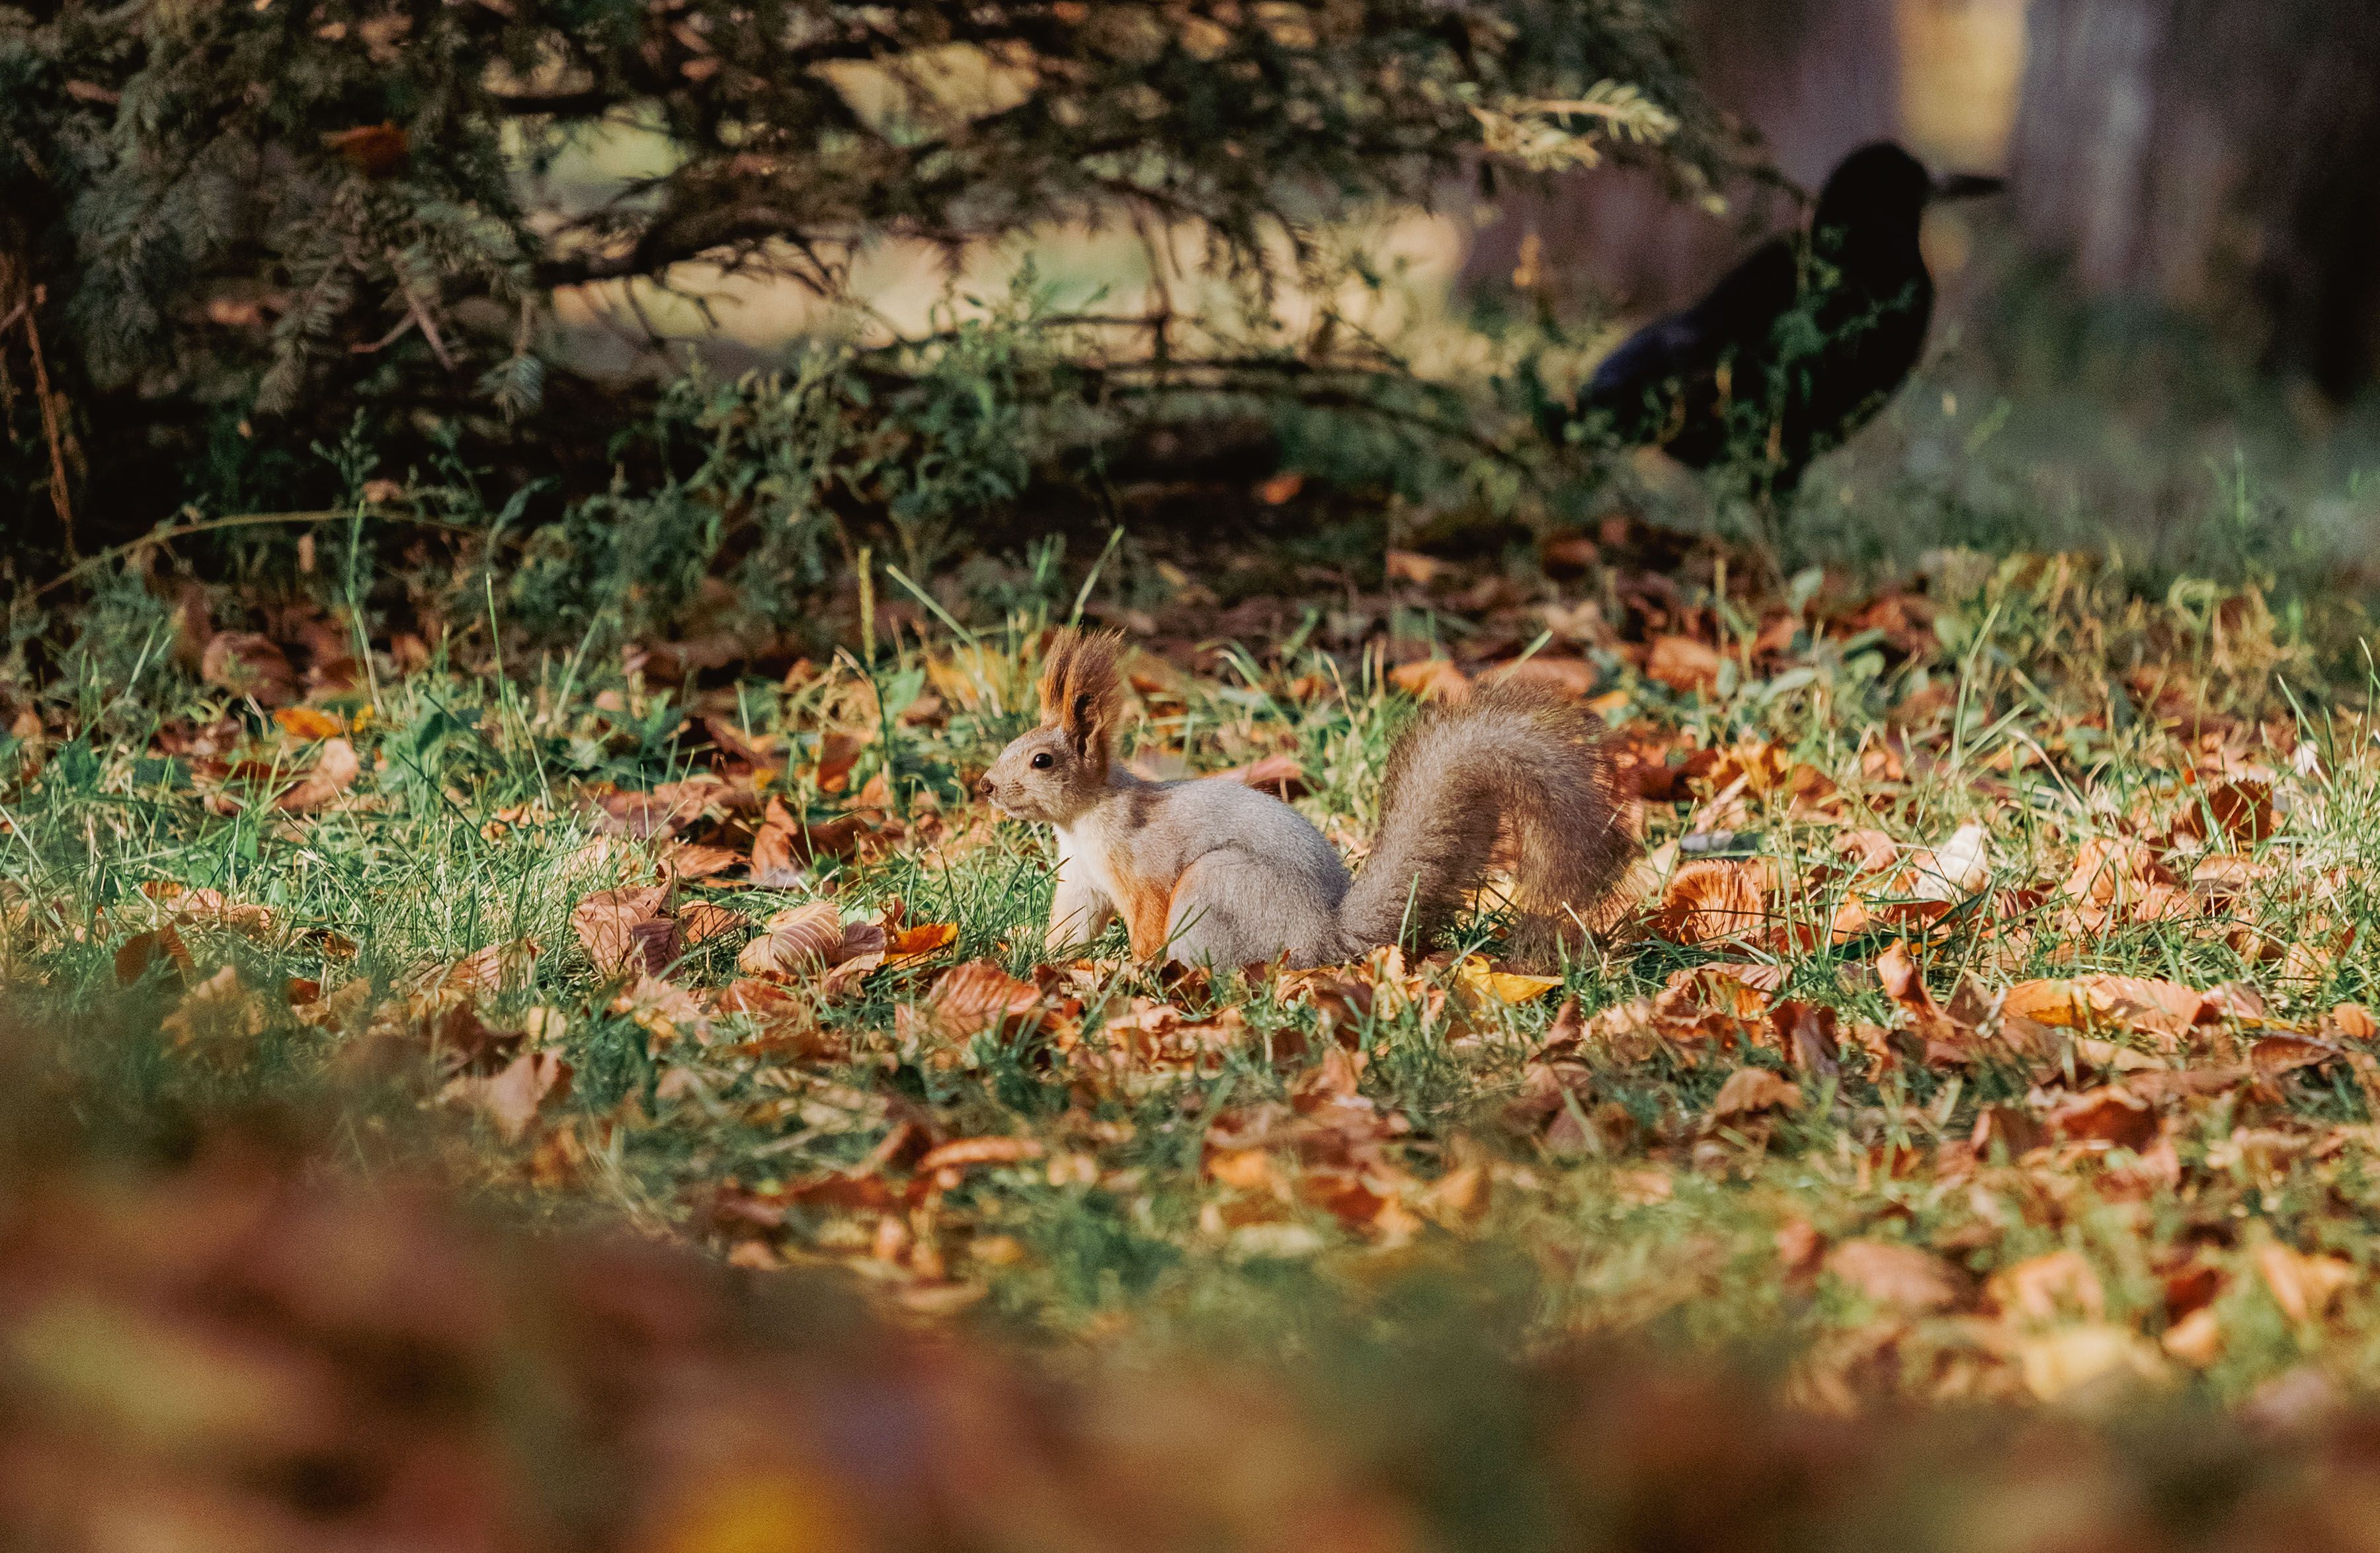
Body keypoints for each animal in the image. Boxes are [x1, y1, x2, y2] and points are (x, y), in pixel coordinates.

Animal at [974, 629, 1637, 969]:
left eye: (1041, 760)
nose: (983, 786)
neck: (1084, 820)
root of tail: (1325, 939)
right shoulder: (1083, 880)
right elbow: (1071, 928)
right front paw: (1035, 957)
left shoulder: (1145, 867)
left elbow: (1147, 916)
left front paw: (1133, 969)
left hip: (1220, 887)